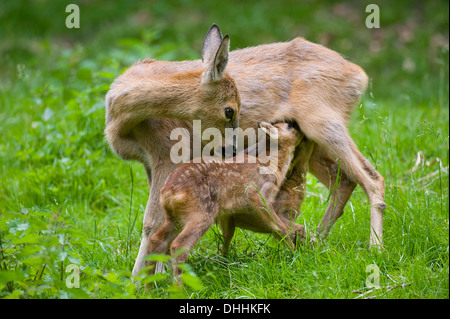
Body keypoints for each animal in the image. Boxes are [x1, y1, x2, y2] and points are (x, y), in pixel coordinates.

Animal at [103, 25, 384, 278]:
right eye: (229, 110)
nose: (233, 149)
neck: (124, 122)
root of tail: (358, 75)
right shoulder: (149, 162)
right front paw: (152, 277)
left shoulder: (169, 152)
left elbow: (151, 223)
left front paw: (138, 282)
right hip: (307, 141)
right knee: (343, 179)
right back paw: (316, 242)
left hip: (324, 121)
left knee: (372, 178)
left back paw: (375, 250)